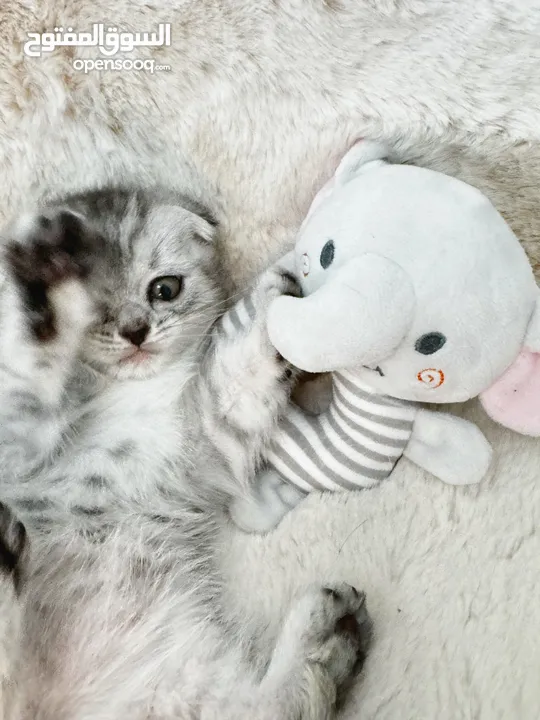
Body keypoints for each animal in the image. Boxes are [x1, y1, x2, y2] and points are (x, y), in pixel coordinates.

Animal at [0, 190, 372, 720]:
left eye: (164, 289)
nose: (136, 330)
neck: (115, 393)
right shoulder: (15, 441)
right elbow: (23, 367)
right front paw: (40, 282)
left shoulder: (198, 435)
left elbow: (237, 379)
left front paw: (275, 306)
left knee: (273, 708)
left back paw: (328, 637)